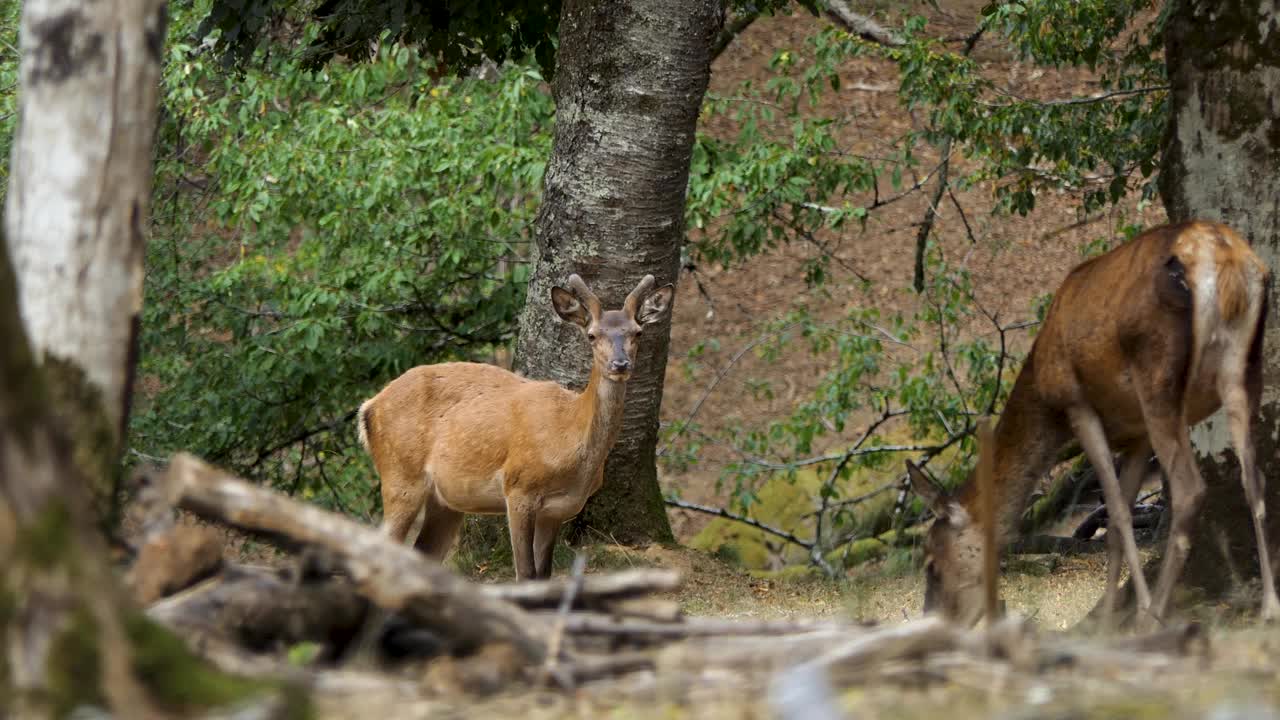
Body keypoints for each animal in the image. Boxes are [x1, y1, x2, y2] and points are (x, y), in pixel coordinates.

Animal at [355, 271, 675, 579]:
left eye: (637, 332)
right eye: (592, 335)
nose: (620, 364)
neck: (569, 441)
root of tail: (368, 408)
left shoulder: (558, 510)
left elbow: (544, 575)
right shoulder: (518, 487)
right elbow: (525, 573)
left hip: (444, 500)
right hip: (400, 475)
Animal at [906, 220, 1280, 627]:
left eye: (932, 563)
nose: (932, 620)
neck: (1042, 393)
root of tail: (1220, 253)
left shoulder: (1076, 404)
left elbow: (1115, 510)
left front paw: (1135, 609)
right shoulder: (1135, 433)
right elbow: (1116, 520)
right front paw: (1106, 619)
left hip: (1157, 374)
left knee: (1190, 489)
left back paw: (1154, 614)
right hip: (1245, 367)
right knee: (1254, 477)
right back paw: (1269, 606)